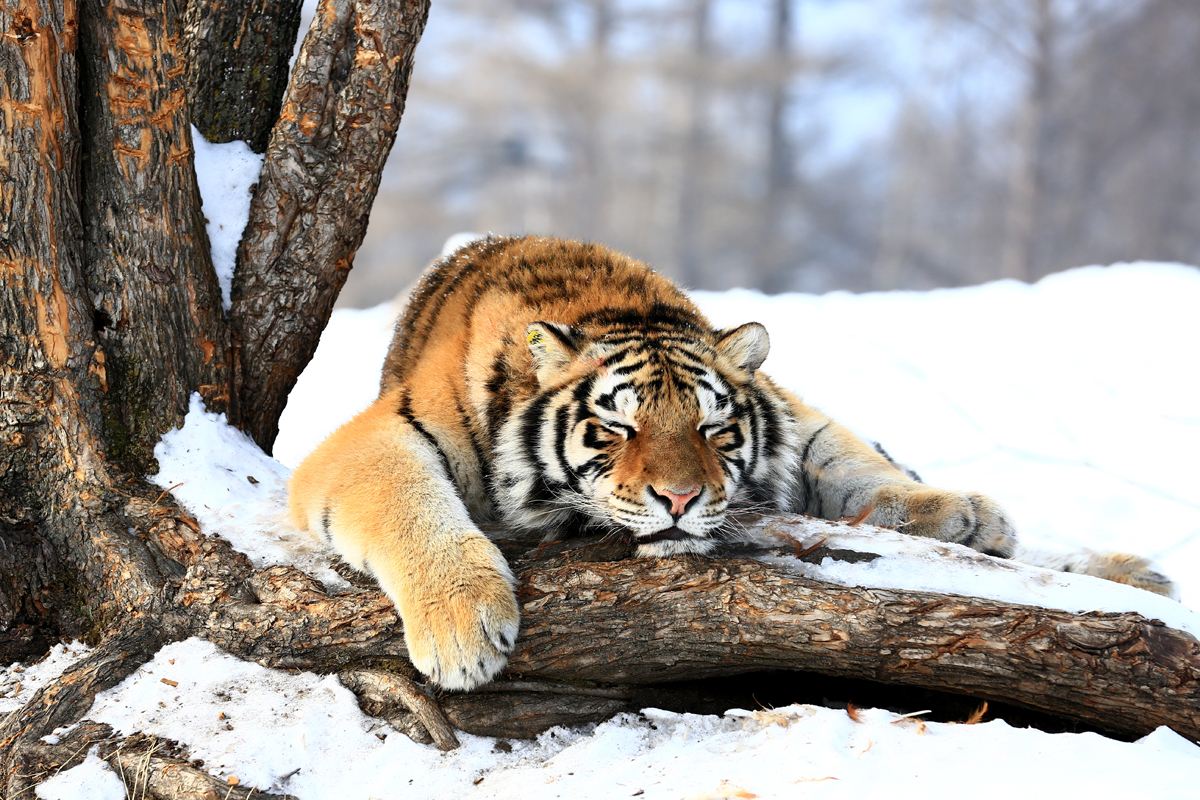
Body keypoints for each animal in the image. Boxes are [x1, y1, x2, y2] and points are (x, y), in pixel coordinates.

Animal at [288, 235, 1171, 690]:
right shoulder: (372, 440)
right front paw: (463, 627)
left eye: (714, 430)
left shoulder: (791, 414)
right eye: (616, 428)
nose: (680, 500)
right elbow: (411, 505)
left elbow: (851, 460)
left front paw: (949, 513)